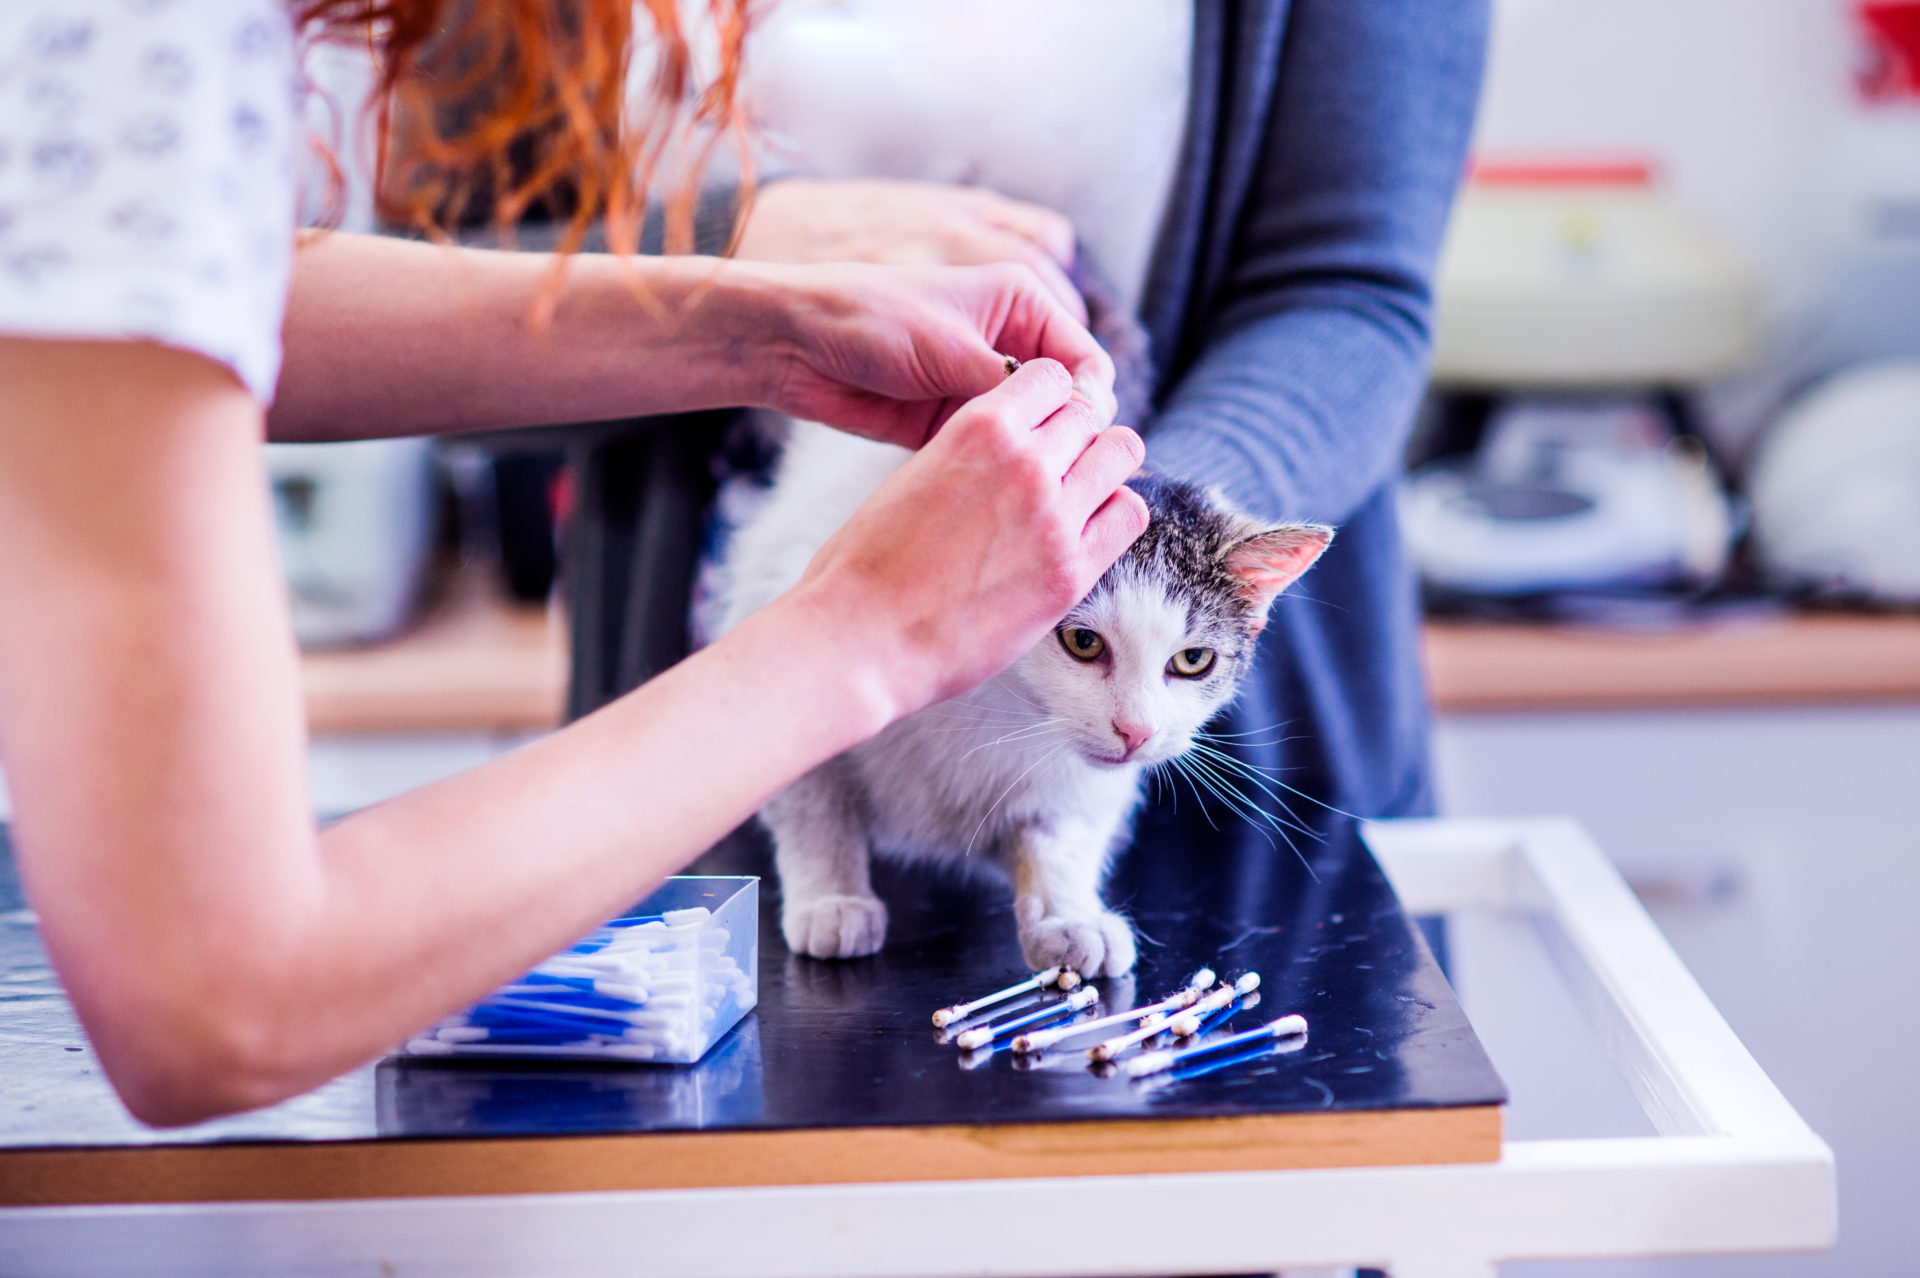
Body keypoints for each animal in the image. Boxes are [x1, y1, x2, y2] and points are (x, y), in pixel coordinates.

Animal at [714, 420, 1328, 974]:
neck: (998, 706)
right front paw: (833, 898)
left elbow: (1057, 838)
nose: (1135, 732)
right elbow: (814, 805)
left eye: (1193, 661)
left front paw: (1068, 917)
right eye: (1083, 642)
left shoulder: (1075, 787)